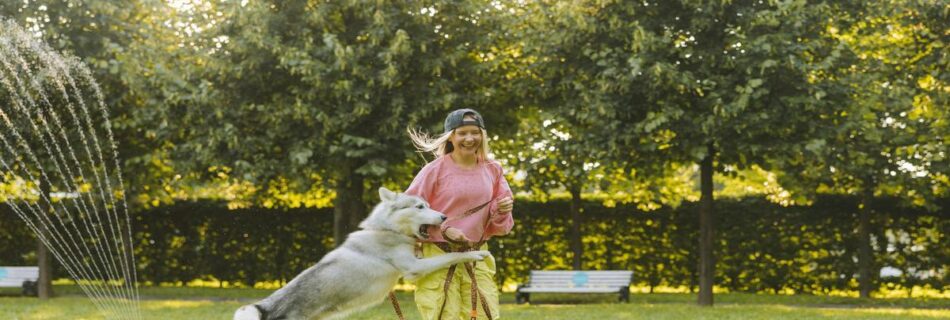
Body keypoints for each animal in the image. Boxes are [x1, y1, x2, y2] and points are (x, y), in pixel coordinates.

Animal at [234, 188, 490, 320]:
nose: (444, 217)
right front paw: (475, 254)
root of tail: (265, 308)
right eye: (419, 207)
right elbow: (451, 257)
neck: (386, 229)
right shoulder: (414, 268)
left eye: (427, 205)